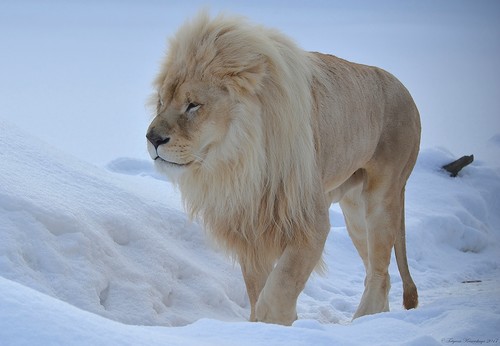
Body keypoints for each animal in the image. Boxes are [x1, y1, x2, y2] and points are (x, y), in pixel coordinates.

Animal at [146, 12, 420, 326]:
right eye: (161, 101)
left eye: (193, 105)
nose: (152, 138)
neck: (238, 163)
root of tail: (406, 91)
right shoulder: (250, 224)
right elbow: (258, 286)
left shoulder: (310, 221)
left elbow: (281, 284)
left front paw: (274, 323)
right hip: (354, 210)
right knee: (377, 267)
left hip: (382, 195)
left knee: (380, 271)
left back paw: (364, 321)